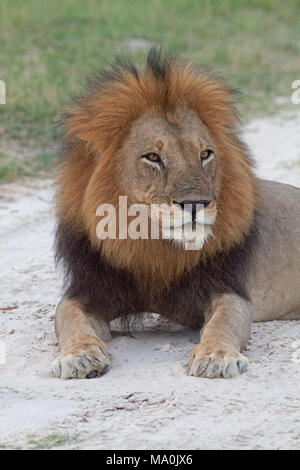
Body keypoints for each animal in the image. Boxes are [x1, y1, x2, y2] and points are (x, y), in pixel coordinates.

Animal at [52, 48, 300, 378]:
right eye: (153, 157)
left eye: (205, 154)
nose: (195, 203)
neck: (155, 249)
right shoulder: (87, 291)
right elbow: (68, 319)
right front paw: (79, 356)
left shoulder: (227, 290)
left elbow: (223, 323)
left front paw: (216, 356)